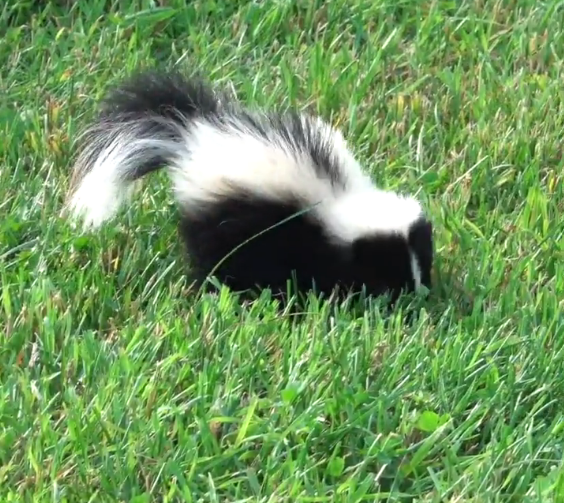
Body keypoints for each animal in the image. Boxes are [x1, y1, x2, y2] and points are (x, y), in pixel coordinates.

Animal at [67, 67, 436, 304]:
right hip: (216, 222)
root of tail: (194, 134)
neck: (339, 198)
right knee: (212, 258)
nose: (418, 292)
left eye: (425, 256)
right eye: (386, 264)